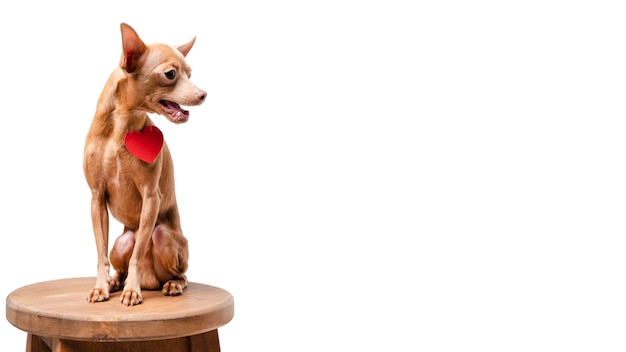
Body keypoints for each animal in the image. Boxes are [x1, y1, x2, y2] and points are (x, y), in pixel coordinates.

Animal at [82, 23, 205, 306]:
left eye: (190, 74)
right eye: (170, 74)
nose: (203, 94)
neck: (121, 127)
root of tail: (152, 281)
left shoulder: (151, 197)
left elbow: (137, 256)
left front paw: (132, 290)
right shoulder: (96, 199)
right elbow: (100, 253)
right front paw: (101, 286)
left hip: (163, 237)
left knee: (181, 273)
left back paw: (171, 284)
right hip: (121, 242)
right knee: (122, 258)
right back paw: (116, 281)